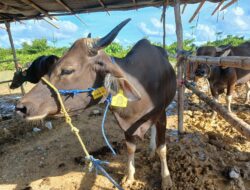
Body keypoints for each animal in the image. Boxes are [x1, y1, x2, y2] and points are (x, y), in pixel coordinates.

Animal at [14, 18, 177, 189]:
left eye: (67, 70)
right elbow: (131, 148)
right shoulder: (125, 125)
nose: (20, 107)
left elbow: (162, 148)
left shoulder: (162, 115)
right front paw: (130, 176)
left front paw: (166, 178)